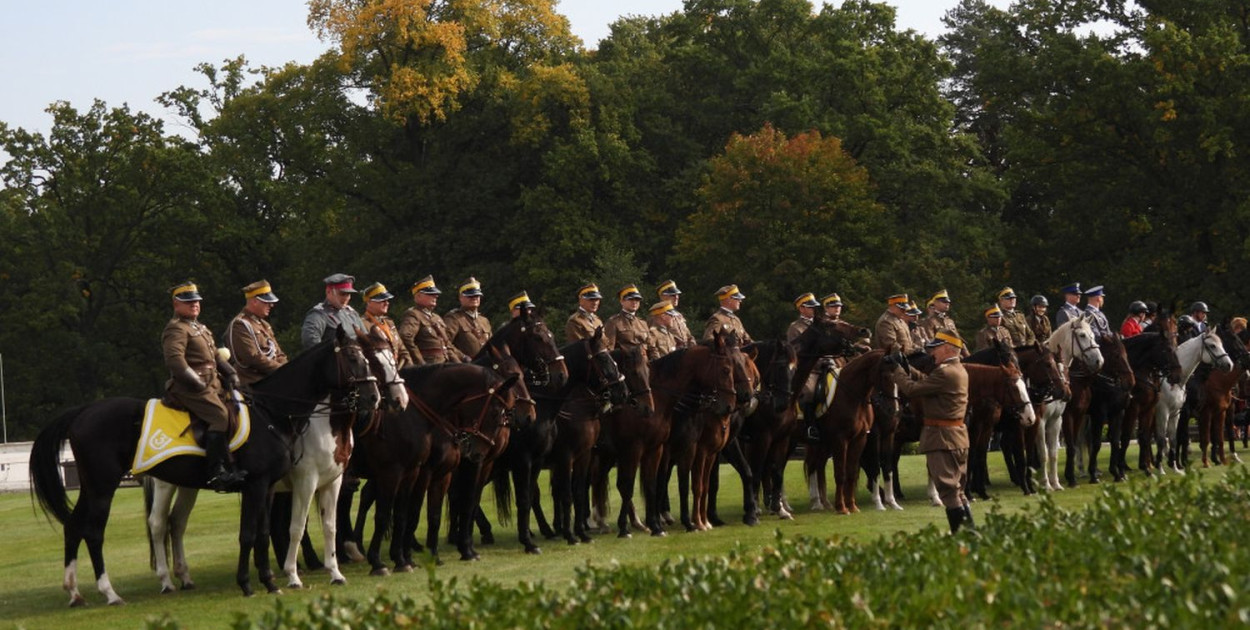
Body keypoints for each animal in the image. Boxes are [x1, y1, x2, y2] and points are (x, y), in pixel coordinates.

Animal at [29, 327, 375, 602]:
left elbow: (269, 532)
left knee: (83, 525)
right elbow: (256, 532)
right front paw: (254, 583)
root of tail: (83, 411)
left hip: (109, 486)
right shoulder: (270, 484)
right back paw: (113, 592)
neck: (273, 412)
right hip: (106, 485)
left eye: (368, 358)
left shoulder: (281, 486)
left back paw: (77, 591)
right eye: (353, 358)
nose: (373, 398)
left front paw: (273, 581)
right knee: (106, 530)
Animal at [1035, 315, 1105, 492]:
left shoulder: (1061, 418)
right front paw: (1051, 483)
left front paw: (1057, 482)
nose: (1099, 361)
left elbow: (1056, 451)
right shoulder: (1044, 421)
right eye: (1082, 335)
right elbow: (1045, 453)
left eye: (1093, 335)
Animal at [1145, 330, 1235, 472]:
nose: (1229, 365)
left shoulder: (1176, 413)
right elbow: (1163, 439)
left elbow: (1174, 439)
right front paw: (1163, 468)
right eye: (1212, 345)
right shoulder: (1164, 412)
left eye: (1221, 343)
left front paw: (1175, 467)